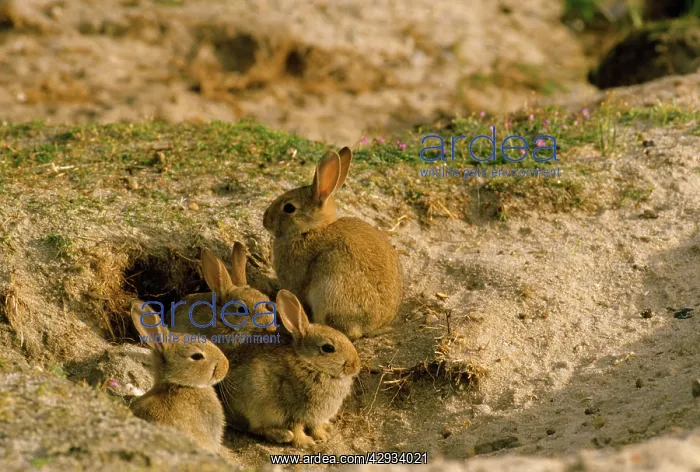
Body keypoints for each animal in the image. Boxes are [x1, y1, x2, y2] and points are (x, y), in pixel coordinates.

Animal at [218, 289, 361, 449]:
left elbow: (316, 427)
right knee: (255, 428)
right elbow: (296, 428)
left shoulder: (315, 417)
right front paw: (306, 442)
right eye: (328, 348)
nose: (356, 366)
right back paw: (281, 435)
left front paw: (323, 436)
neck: (310, 364)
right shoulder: (293, 411)